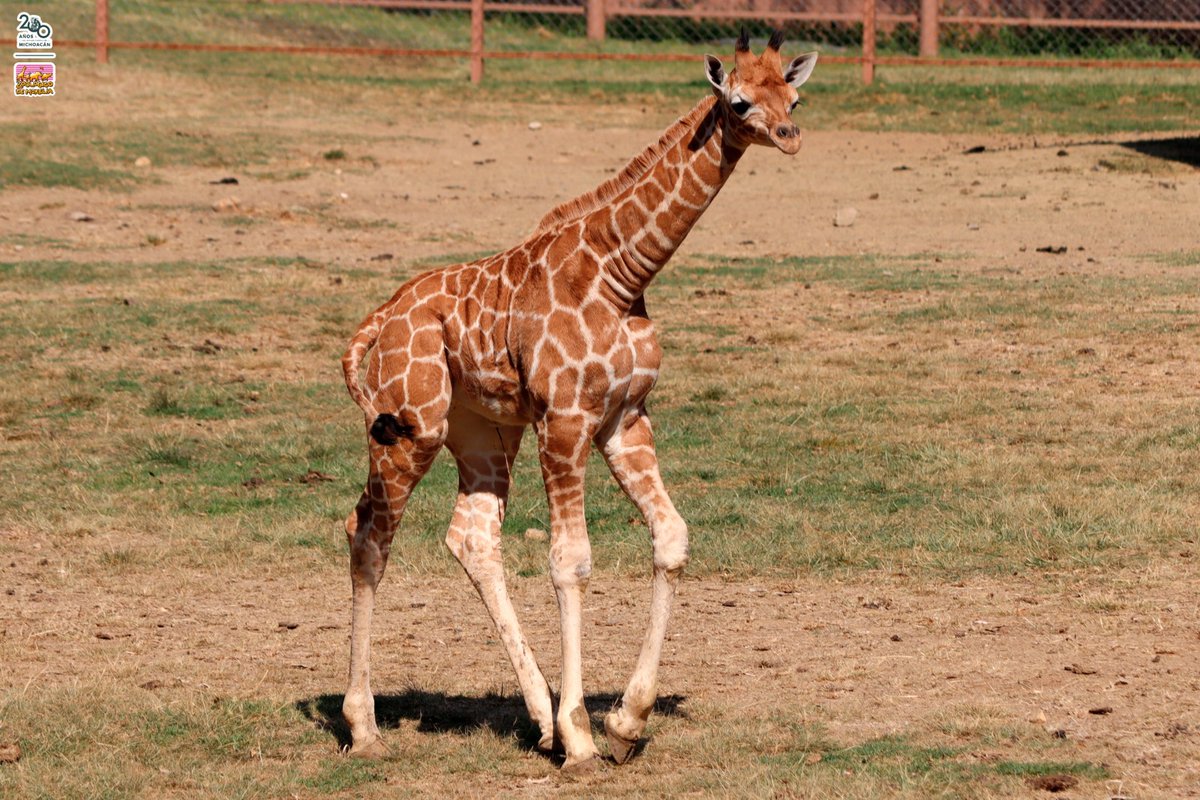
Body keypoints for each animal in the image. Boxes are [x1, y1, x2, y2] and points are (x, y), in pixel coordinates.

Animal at [340, 32, 816, 777]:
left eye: (794, 99)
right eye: (740, 101)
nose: (790, 137)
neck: (620, 275)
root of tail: (380, 317)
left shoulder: (624, 419)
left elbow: (671, 538)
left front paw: (623, 720)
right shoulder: (564, 419)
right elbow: (572, 561)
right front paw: (584, 736)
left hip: (482, 432)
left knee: (471, 537)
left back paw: (538, 721)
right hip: (408, 428)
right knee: (368, 535)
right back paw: (364, 726)